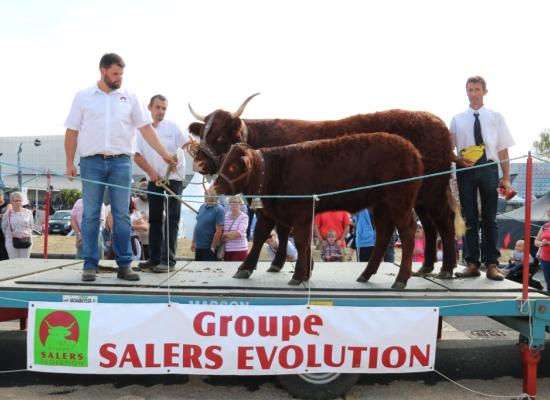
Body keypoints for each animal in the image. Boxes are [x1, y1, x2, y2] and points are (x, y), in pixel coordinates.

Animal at [190, 95, 466, 280]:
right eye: (203, 133)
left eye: (220, 137)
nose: (199, 162)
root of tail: (435, 120)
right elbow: (281, 231)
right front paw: (280, 264)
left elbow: (268, 232)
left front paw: (248, 267)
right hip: (417, 198)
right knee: (429, 226)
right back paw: (426, 266)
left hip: (431, 191)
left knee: (443, 221)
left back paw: (445, 268)